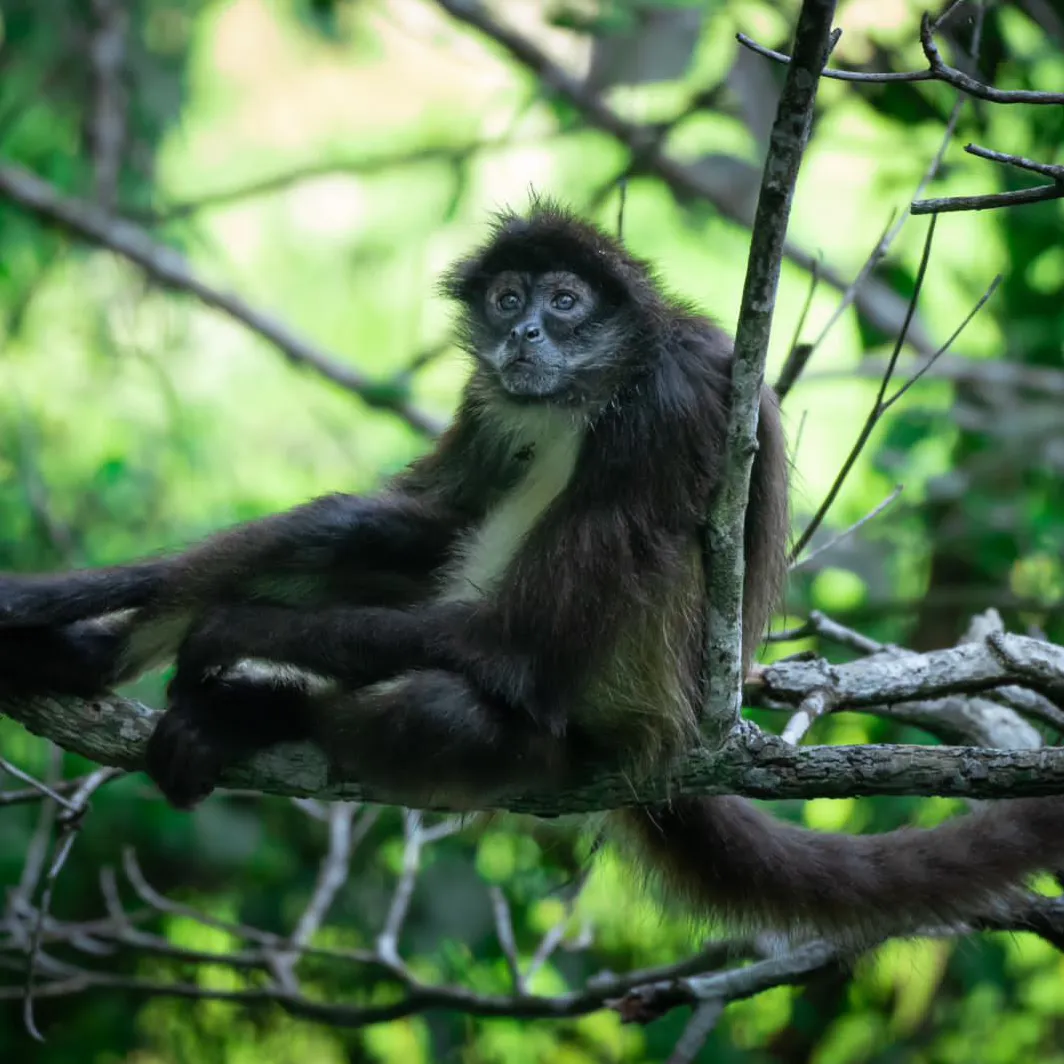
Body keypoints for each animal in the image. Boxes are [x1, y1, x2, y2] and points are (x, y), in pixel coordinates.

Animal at [2, 200, 1064, 940]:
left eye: (565, 302)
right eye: (509, 299)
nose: (524, 336)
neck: (589, 395)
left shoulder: (673, 405)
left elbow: (514, 644)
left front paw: (230, 643)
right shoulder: (496, 399)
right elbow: (416, 517)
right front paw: (53, 612)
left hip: (580, 737)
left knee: (444, 707)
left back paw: (256, 715)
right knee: (350, 535)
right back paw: (95, 663)